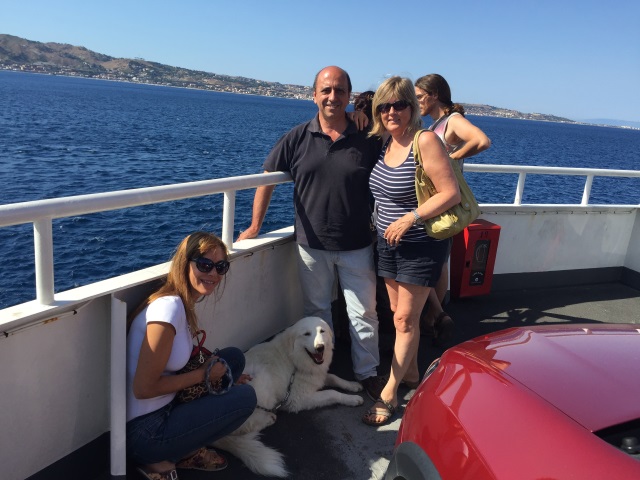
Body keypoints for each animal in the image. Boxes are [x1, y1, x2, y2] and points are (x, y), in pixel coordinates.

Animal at [213, 316, 364, 477]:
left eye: (322, 331)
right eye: (306, 334)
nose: (320, 347)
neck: (294, 359)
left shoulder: (317, 376)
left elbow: (335, 378)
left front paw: (353, 386)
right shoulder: (299, 399)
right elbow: (332, 393)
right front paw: (352, 399)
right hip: (259, 382)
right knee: (246, 427)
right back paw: (268, 419)